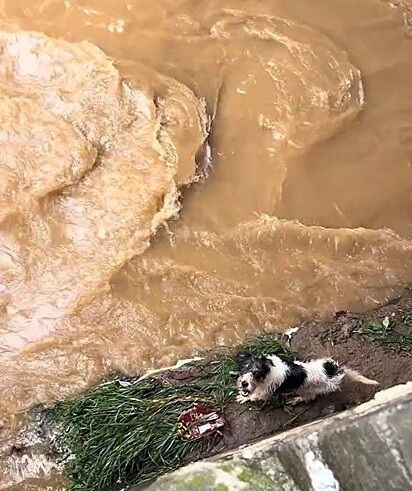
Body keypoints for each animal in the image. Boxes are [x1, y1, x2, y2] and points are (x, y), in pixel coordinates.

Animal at [237, 356, 378, 406]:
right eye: (246, 368)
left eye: (256, 373)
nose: (244, 383)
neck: (268, 370)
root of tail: (335, 371)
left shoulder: (264, 392)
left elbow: (253, 396)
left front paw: (244, 398)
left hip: (308, 389)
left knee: (310, 397)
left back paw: (296, 400)